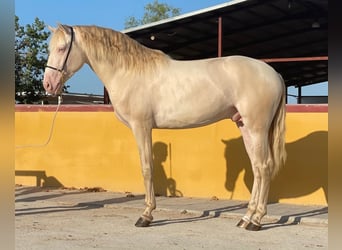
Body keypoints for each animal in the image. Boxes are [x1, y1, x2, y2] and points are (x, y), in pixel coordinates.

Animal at [44, 24, 288, 231]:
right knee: (257, 168)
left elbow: (147, 169)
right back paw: (246, 218)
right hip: (245, 126)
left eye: (62, 48)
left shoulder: (141, 127)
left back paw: (256, 221)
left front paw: (146, 216)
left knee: (264, 167)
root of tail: (273, 73)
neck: (129, 71)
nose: (48, 84)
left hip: (256, 129)